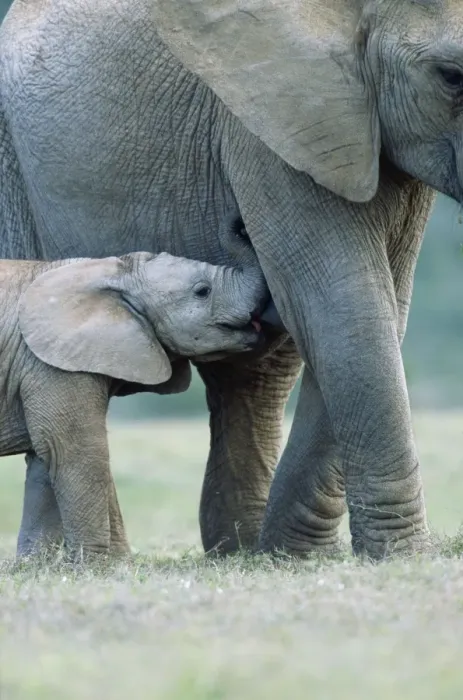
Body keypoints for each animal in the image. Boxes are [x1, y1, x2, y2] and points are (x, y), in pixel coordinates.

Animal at [0, 237, 273, 556]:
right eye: (202, 291)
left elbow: (46, 457)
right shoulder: (49, 363)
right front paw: (97, 564)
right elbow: (75, 452)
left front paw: (36, 563)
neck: (114, 271)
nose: (239, 228)